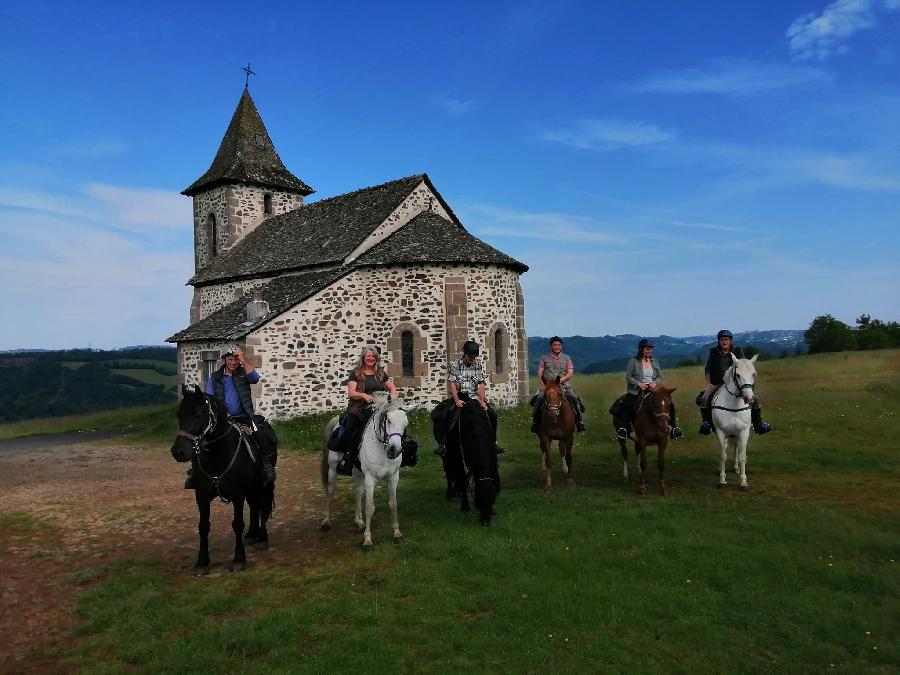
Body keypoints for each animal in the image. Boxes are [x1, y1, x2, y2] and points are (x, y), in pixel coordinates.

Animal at [171, 386, 272, 576]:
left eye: (198, 415)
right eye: (179, 415)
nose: (178, 452)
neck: (218, 455)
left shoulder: (238, 495)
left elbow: (237, 524)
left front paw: (239, 559)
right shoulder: (201, 496)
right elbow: (203, 526)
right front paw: (202, 562)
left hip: (261, 485)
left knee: (261, 507)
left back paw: (262, 538)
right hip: (252, 487)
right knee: (255, 506)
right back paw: (252, 535)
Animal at [320, 394, 408, 552]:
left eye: (405, 423)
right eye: (389, 420)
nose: (394, 450)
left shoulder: (393, 477)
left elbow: (393, 504)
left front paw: (397, 533)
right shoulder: (370, 479)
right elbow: (369, 508)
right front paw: (367, 540)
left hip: (360, 475)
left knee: (357, 493)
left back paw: (359, 522)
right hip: (333, 470)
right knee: (330, 492)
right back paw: (326, 522)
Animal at [712, 354, 760, 492]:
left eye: (753, 374)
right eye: (738, 375)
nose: (749, 398)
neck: (733, 405)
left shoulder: (744, 432)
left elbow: (742, 456)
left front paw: (743, 482)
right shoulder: (721, 432)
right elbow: (723, 455)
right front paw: (722, 480)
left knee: (736, 448)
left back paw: (736, 467)